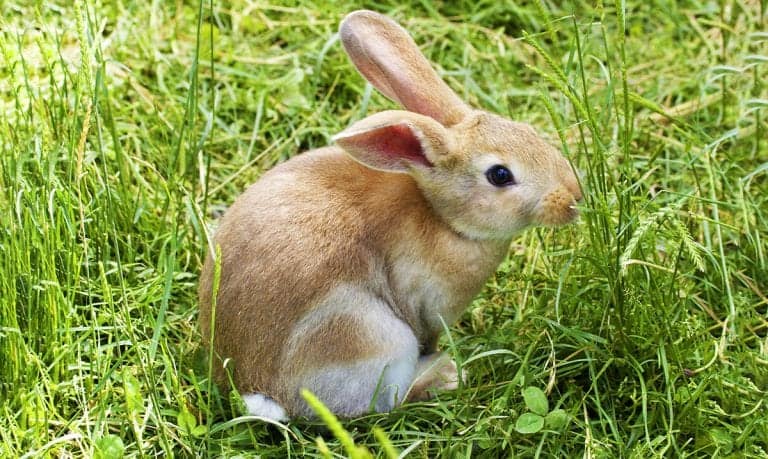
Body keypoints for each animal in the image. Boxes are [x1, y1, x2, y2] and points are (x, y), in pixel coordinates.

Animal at [198, 9, 582, 421]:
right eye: (499, 175)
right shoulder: (427, 307)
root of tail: (259, 389)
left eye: (528, 131)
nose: (573, 197)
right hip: (372, 337)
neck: (443, 219)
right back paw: (443, 376)